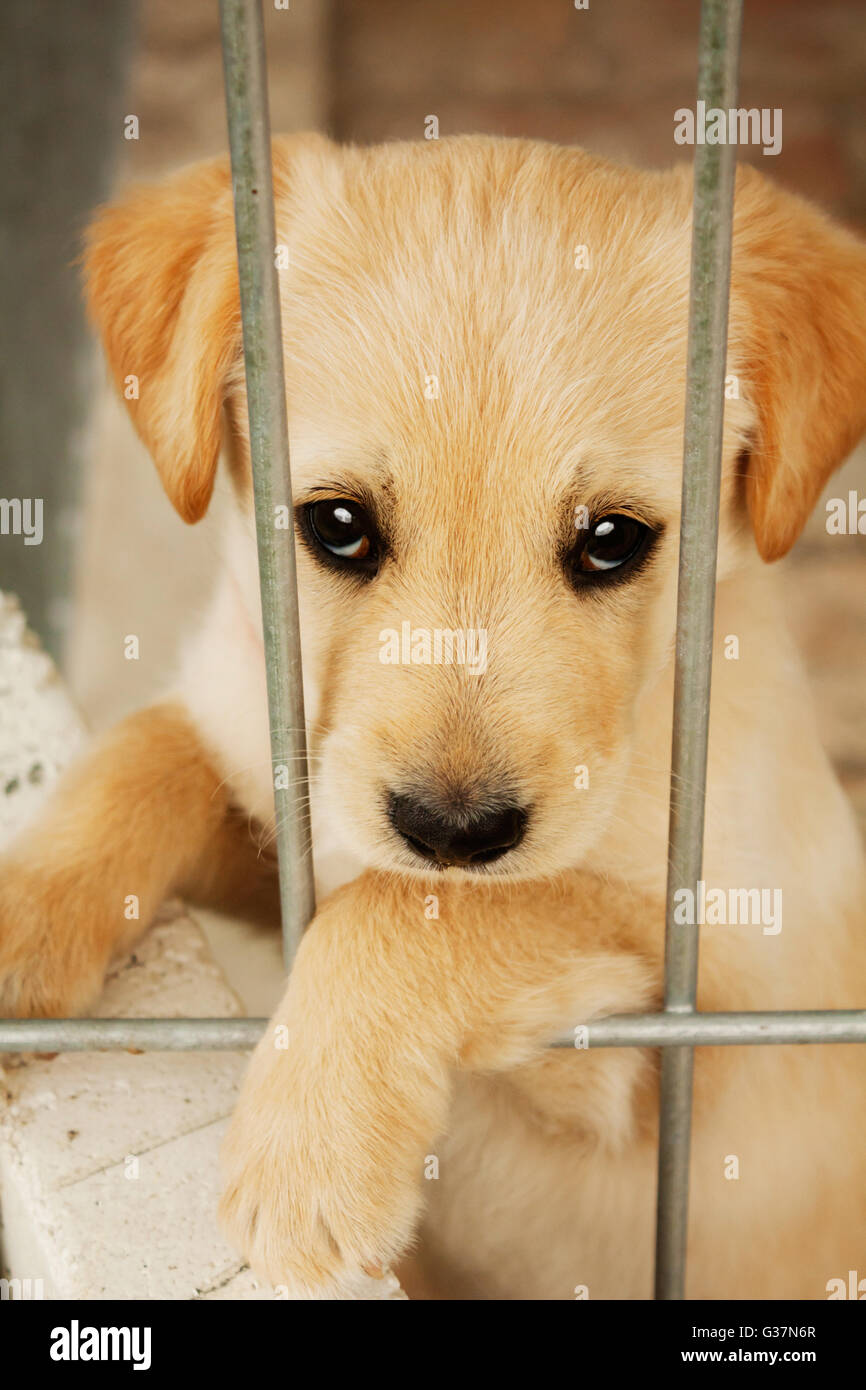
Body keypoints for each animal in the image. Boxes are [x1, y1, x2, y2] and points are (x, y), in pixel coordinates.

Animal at [1, 135, 866, 1295]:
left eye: (612, 539)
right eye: (336, 524)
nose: (454, 832)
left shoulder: (707, 1039)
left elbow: (431, 911)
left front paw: (306, 1154)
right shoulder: (286, 807)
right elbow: (150, 752)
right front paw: (24, 910)